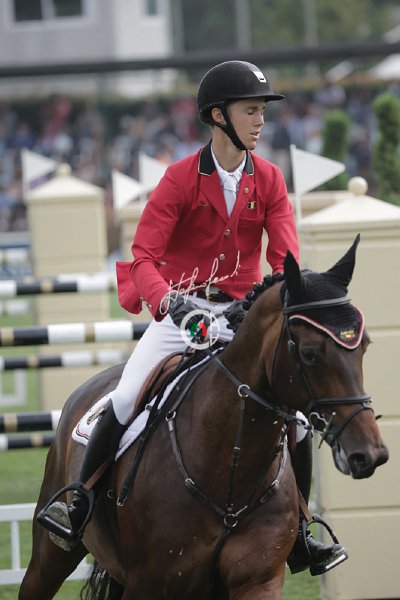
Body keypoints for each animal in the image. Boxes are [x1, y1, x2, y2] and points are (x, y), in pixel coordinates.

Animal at [19, 238, 389, 600]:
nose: (369, 454)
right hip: (52, 555)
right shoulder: (149, 585)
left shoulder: (258, 582)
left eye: (365, 345)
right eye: (310, 354)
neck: (229, 475)